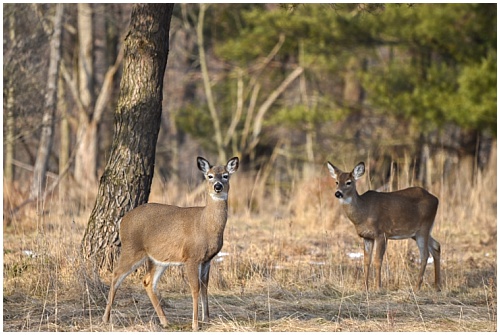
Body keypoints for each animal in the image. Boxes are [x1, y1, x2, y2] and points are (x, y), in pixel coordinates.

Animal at [102, 157, 239, 330]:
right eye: (210, 176)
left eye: (226, 175)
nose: (218, 186)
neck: (206, 224)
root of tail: (122, 220)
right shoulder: (191, 257)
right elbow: (195, 288)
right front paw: (195, 324)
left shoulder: (207, 259)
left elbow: (205, 287)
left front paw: (206, 320)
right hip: (132, 249)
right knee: (116, 275)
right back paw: (105, 319)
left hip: (159, 259)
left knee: (147, 281)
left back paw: (165, 321)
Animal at [328, 162, 442, 292]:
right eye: (336, 181)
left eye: (348, 182)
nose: (338, 193)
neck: (364, 211)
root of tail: (436, 199)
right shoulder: (367, 237)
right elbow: (366, 261)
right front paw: (365, 287)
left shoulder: (381, 233)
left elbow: (378, 260)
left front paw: (378, 287)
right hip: (416, 232)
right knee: (436, 246)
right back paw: (437, 286)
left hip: (423, 228)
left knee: (425, 255)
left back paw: (417, 287)